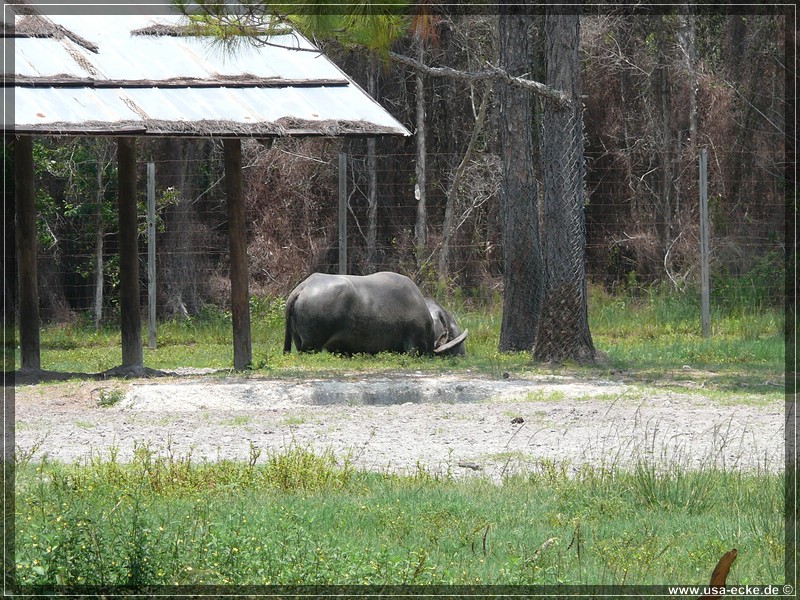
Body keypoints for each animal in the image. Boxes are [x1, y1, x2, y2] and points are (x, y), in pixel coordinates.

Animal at [282, 272, 466, 356]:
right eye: (450, 334)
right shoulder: (415, 345)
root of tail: (303, 287)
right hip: (311, 345)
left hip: (299, 341)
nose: (462, 354)